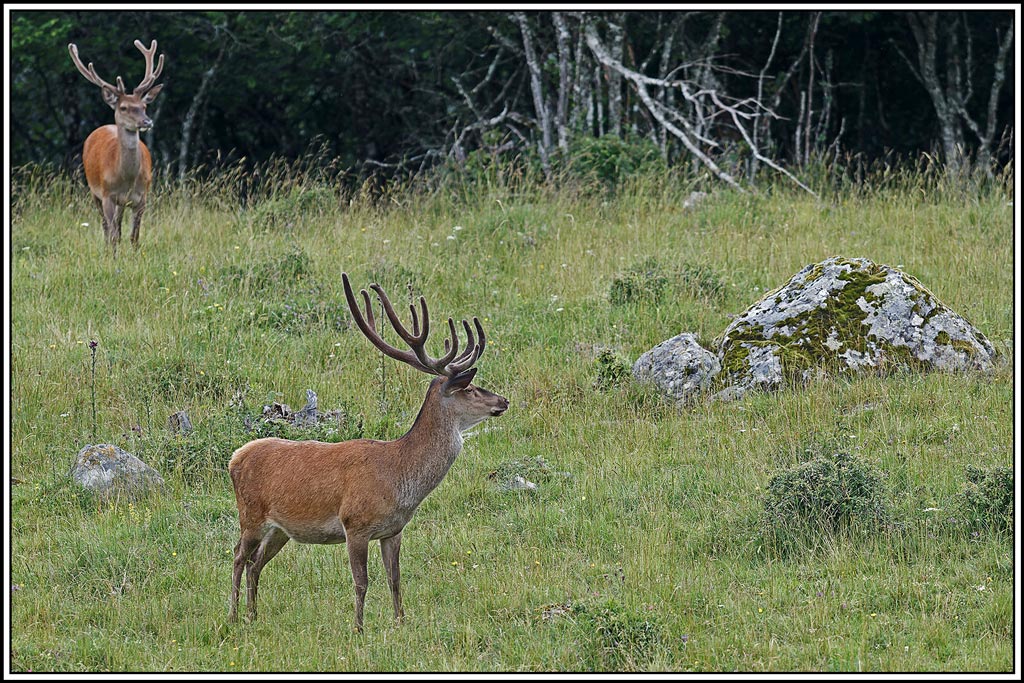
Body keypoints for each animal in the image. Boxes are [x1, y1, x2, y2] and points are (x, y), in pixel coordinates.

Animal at [68, 39, 165, 249]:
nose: (147, 122)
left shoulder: (141, 198)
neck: (126, 178)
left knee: (118, 228)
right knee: (106, 227)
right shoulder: (107, 195)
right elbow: (112, 235)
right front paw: (112, 256)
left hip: (121, 202)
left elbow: (134, 237)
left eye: (144, 106)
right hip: (94, 191)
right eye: (124, 107)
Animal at [228, 273, 510, 631]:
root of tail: (236, 457)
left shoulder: (394, 530)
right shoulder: (355, 524)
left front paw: (401, 622)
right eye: (470, 389)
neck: (398, 478)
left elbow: (395, 579)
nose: (504, 401)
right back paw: (234, 616)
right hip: (250, 515)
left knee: (256, 563)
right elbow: (361, 581)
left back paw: (253, 615)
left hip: (280, 529)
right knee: (238, 556)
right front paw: (358, 628)